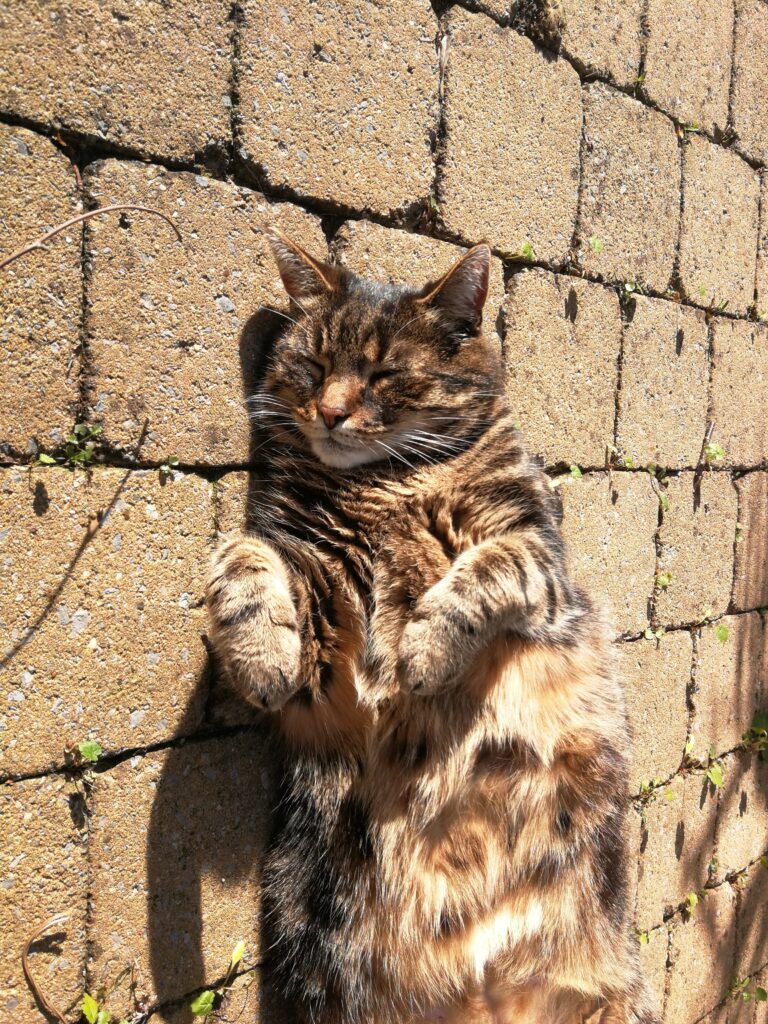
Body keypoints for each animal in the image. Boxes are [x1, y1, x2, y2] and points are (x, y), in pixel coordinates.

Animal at [204, 232, 663, 1024]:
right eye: (313, 366)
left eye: (384, 373)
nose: (329, 413)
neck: (386, 484)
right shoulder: (317, 597)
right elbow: (243, 553)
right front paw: (261, 656)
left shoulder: (539, 553)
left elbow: (484, 574)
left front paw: (426, 649)